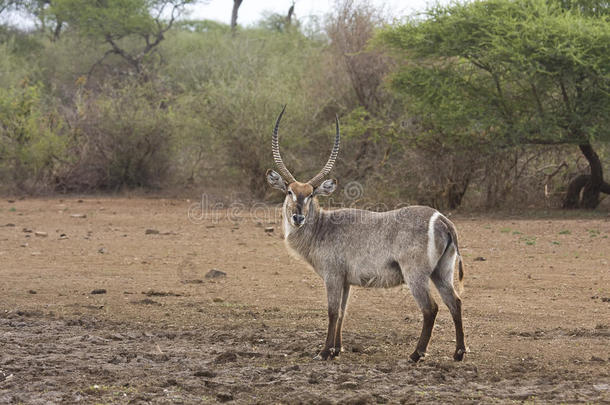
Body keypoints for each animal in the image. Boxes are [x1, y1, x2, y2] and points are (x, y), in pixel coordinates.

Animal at [266, 105, 466, 362]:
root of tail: (442, 219)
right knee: (455, 302)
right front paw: (336, 349)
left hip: (416, 274)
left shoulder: (332, 276)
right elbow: (343, 311)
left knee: (430, 308)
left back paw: (416, 354)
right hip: (442, 271)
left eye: (311, 194)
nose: (298, 218)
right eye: (290, 191)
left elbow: (332, 311)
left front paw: (324, 352)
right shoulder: (345, 280)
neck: (322, 226)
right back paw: (459, 353)